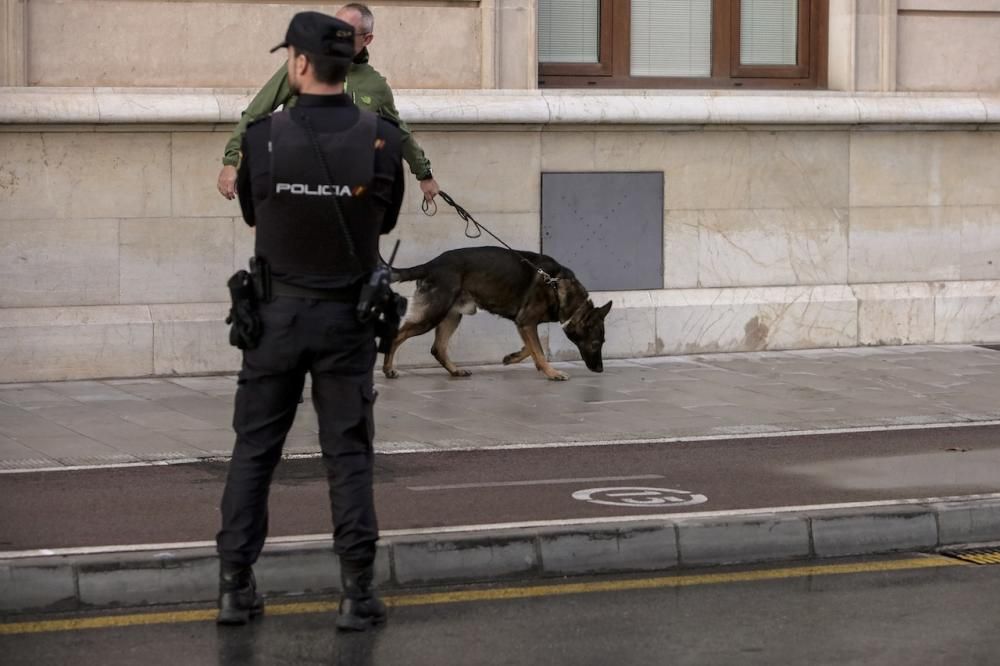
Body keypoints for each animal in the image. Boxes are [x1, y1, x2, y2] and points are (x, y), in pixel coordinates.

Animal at [380, 245, 608, 382]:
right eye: (596, 343)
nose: (600, 370)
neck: (556, 285)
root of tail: (430, 265)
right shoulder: (526, 322)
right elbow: (540, 351)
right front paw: (552, 373)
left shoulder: (524, 324)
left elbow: (532, 348)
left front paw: (513, 357)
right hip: (432, 315)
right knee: (398, 335)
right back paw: (388, 369)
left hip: (452, 316)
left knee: (438, 348)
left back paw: (455, 370)